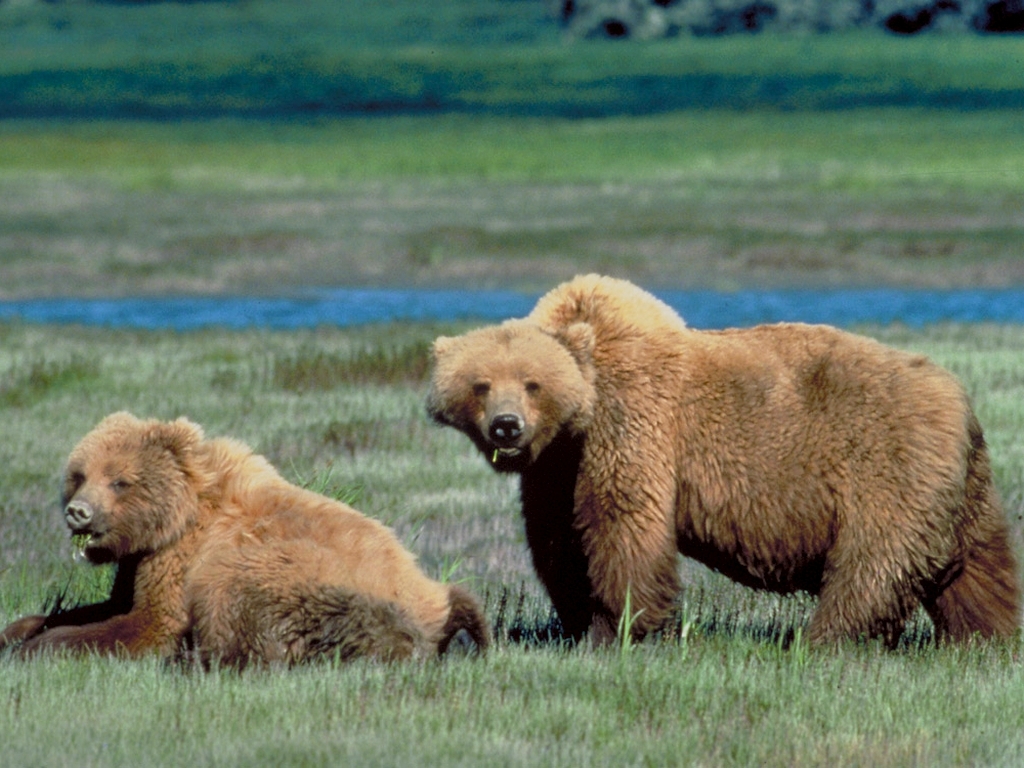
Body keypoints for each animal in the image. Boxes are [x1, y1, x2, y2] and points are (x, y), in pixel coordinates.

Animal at [0, 412, 489, 666]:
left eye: (119, 480)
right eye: (79, 474)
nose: (78, 511)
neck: (177, 517)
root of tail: (436, 601)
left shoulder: (182, 557)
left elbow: (150, 623)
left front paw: (39, 648)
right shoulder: (140, 559)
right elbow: (110, 604)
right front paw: (20, 630)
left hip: (313, 582)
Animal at [427, 273, 1021, 647]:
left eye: (533, 382)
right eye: (480, 384)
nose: (507, 426)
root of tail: (958, 398)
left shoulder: (632, 425)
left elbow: (623, 526)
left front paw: (624, 628)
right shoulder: (555, 465)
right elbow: (558, 541)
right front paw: (579, 622)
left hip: (885, 463)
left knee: (873, 563)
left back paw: (822, 641)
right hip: (960, 484)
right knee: (977, 564)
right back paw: (986, 638)